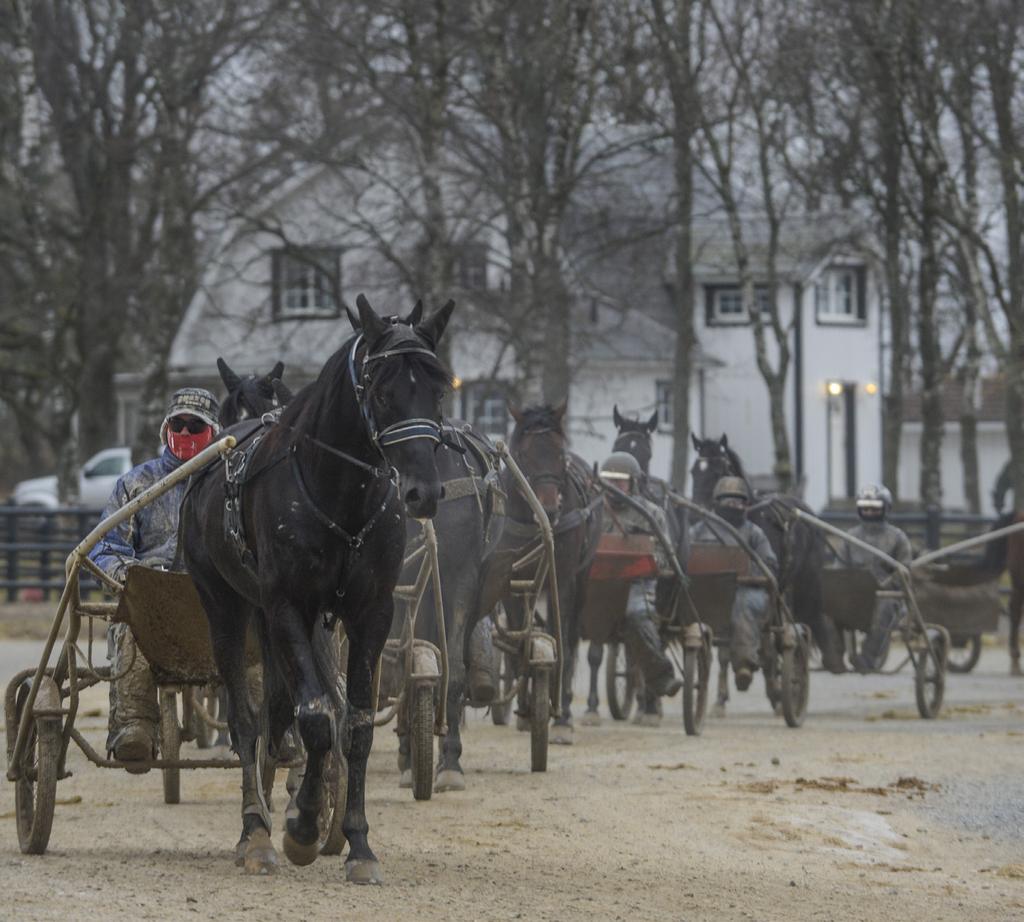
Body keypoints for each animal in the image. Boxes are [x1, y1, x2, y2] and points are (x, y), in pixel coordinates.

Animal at [181, 292, 456, 876]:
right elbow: (315, 717)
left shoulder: (370, 612)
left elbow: (352, 722)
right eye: (382, 391)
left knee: (277, 712)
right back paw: (254, 831)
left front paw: (358, 842)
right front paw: (303, 822)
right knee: (246, 721)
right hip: (225, 606)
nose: (423, 491)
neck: (338, 495)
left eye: (439, 387)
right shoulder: (288, 605)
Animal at [501, 403, 602, 741]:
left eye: (559, 453)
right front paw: (524, 707)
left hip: (582, 579)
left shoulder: (566, 580)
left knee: (569, 637)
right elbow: (519, 639)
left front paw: (562, 718)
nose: (550, 508)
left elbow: (563, 639)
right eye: (523, 453)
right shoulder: (512, 581)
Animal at [688, 434, 839, 713]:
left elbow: (768, 642)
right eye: (694, 471)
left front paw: (776, 691)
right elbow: (725, 646)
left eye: (717, 471)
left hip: (798, 583)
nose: (696, 511)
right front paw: (720, 699)